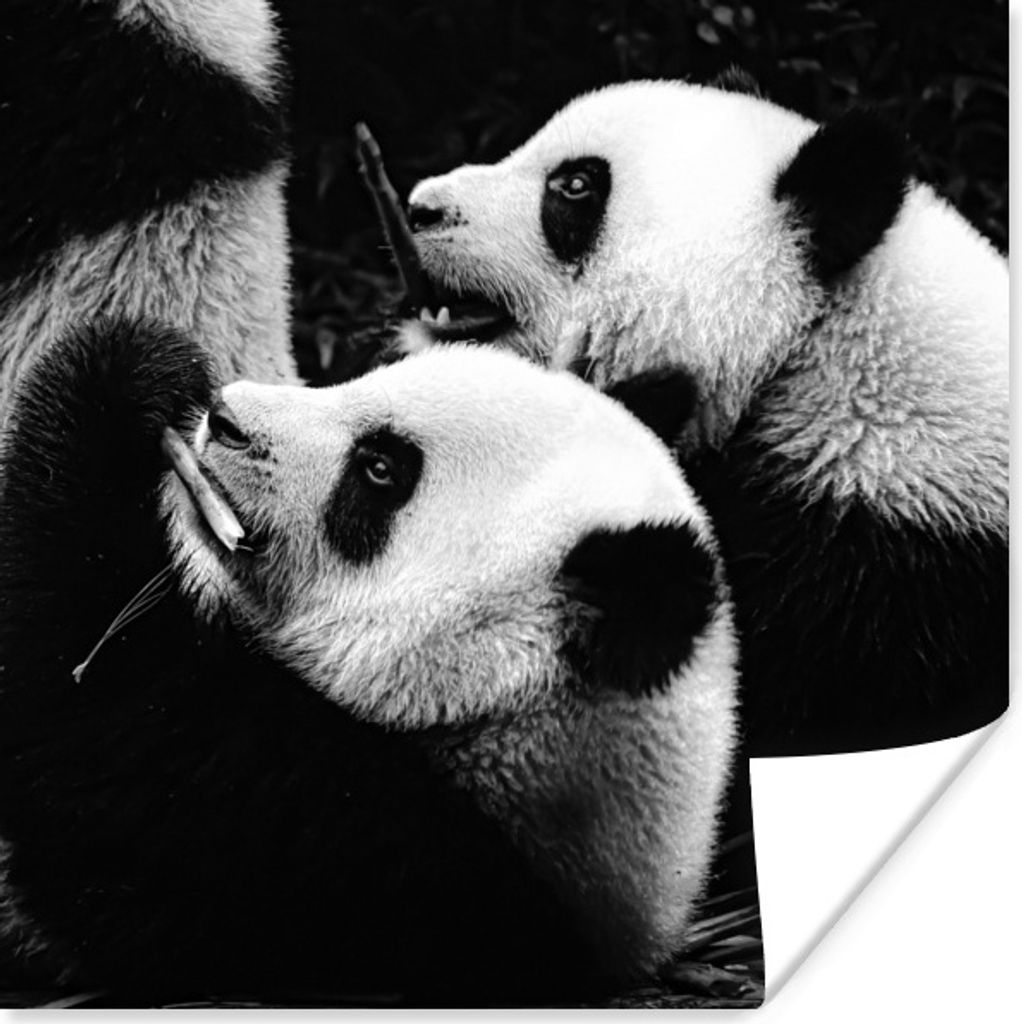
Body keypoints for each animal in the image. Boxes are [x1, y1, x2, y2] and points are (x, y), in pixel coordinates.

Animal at [0, 319, 737, 1004]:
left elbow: (103, 727)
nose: (225, 416)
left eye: (381, 469)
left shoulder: (369, 868)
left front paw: (109, 386)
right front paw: (159, 365)